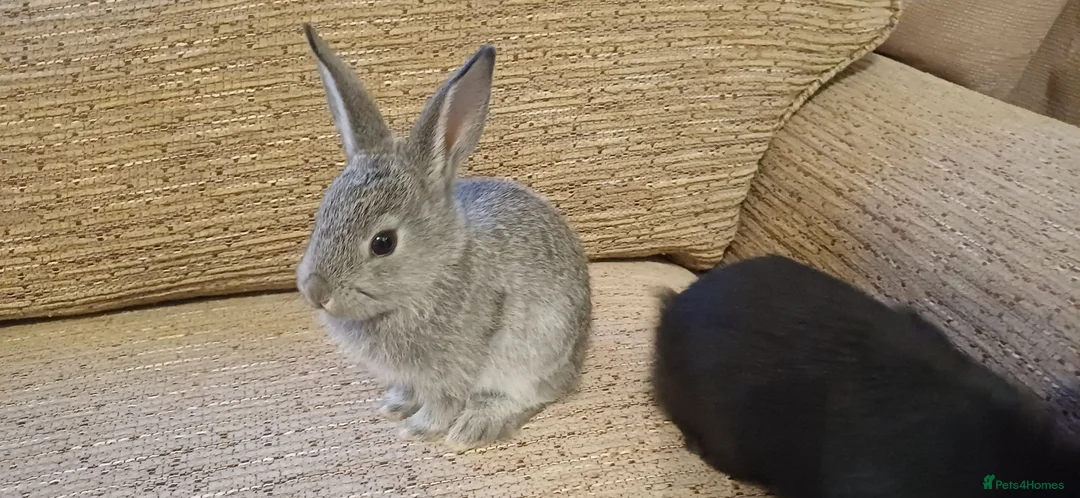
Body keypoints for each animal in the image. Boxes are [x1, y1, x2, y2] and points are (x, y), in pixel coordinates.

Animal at [294, 24, 592, 450]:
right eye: (322, 213)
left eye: (383, 243)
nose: (315, 291)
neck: (436, 272)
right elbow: (408, 390)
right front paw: (394, 406)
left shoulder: (451, 371)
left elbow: (443, 401)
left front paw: (420, 428)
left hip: (534, 353)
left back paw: (475, 426)